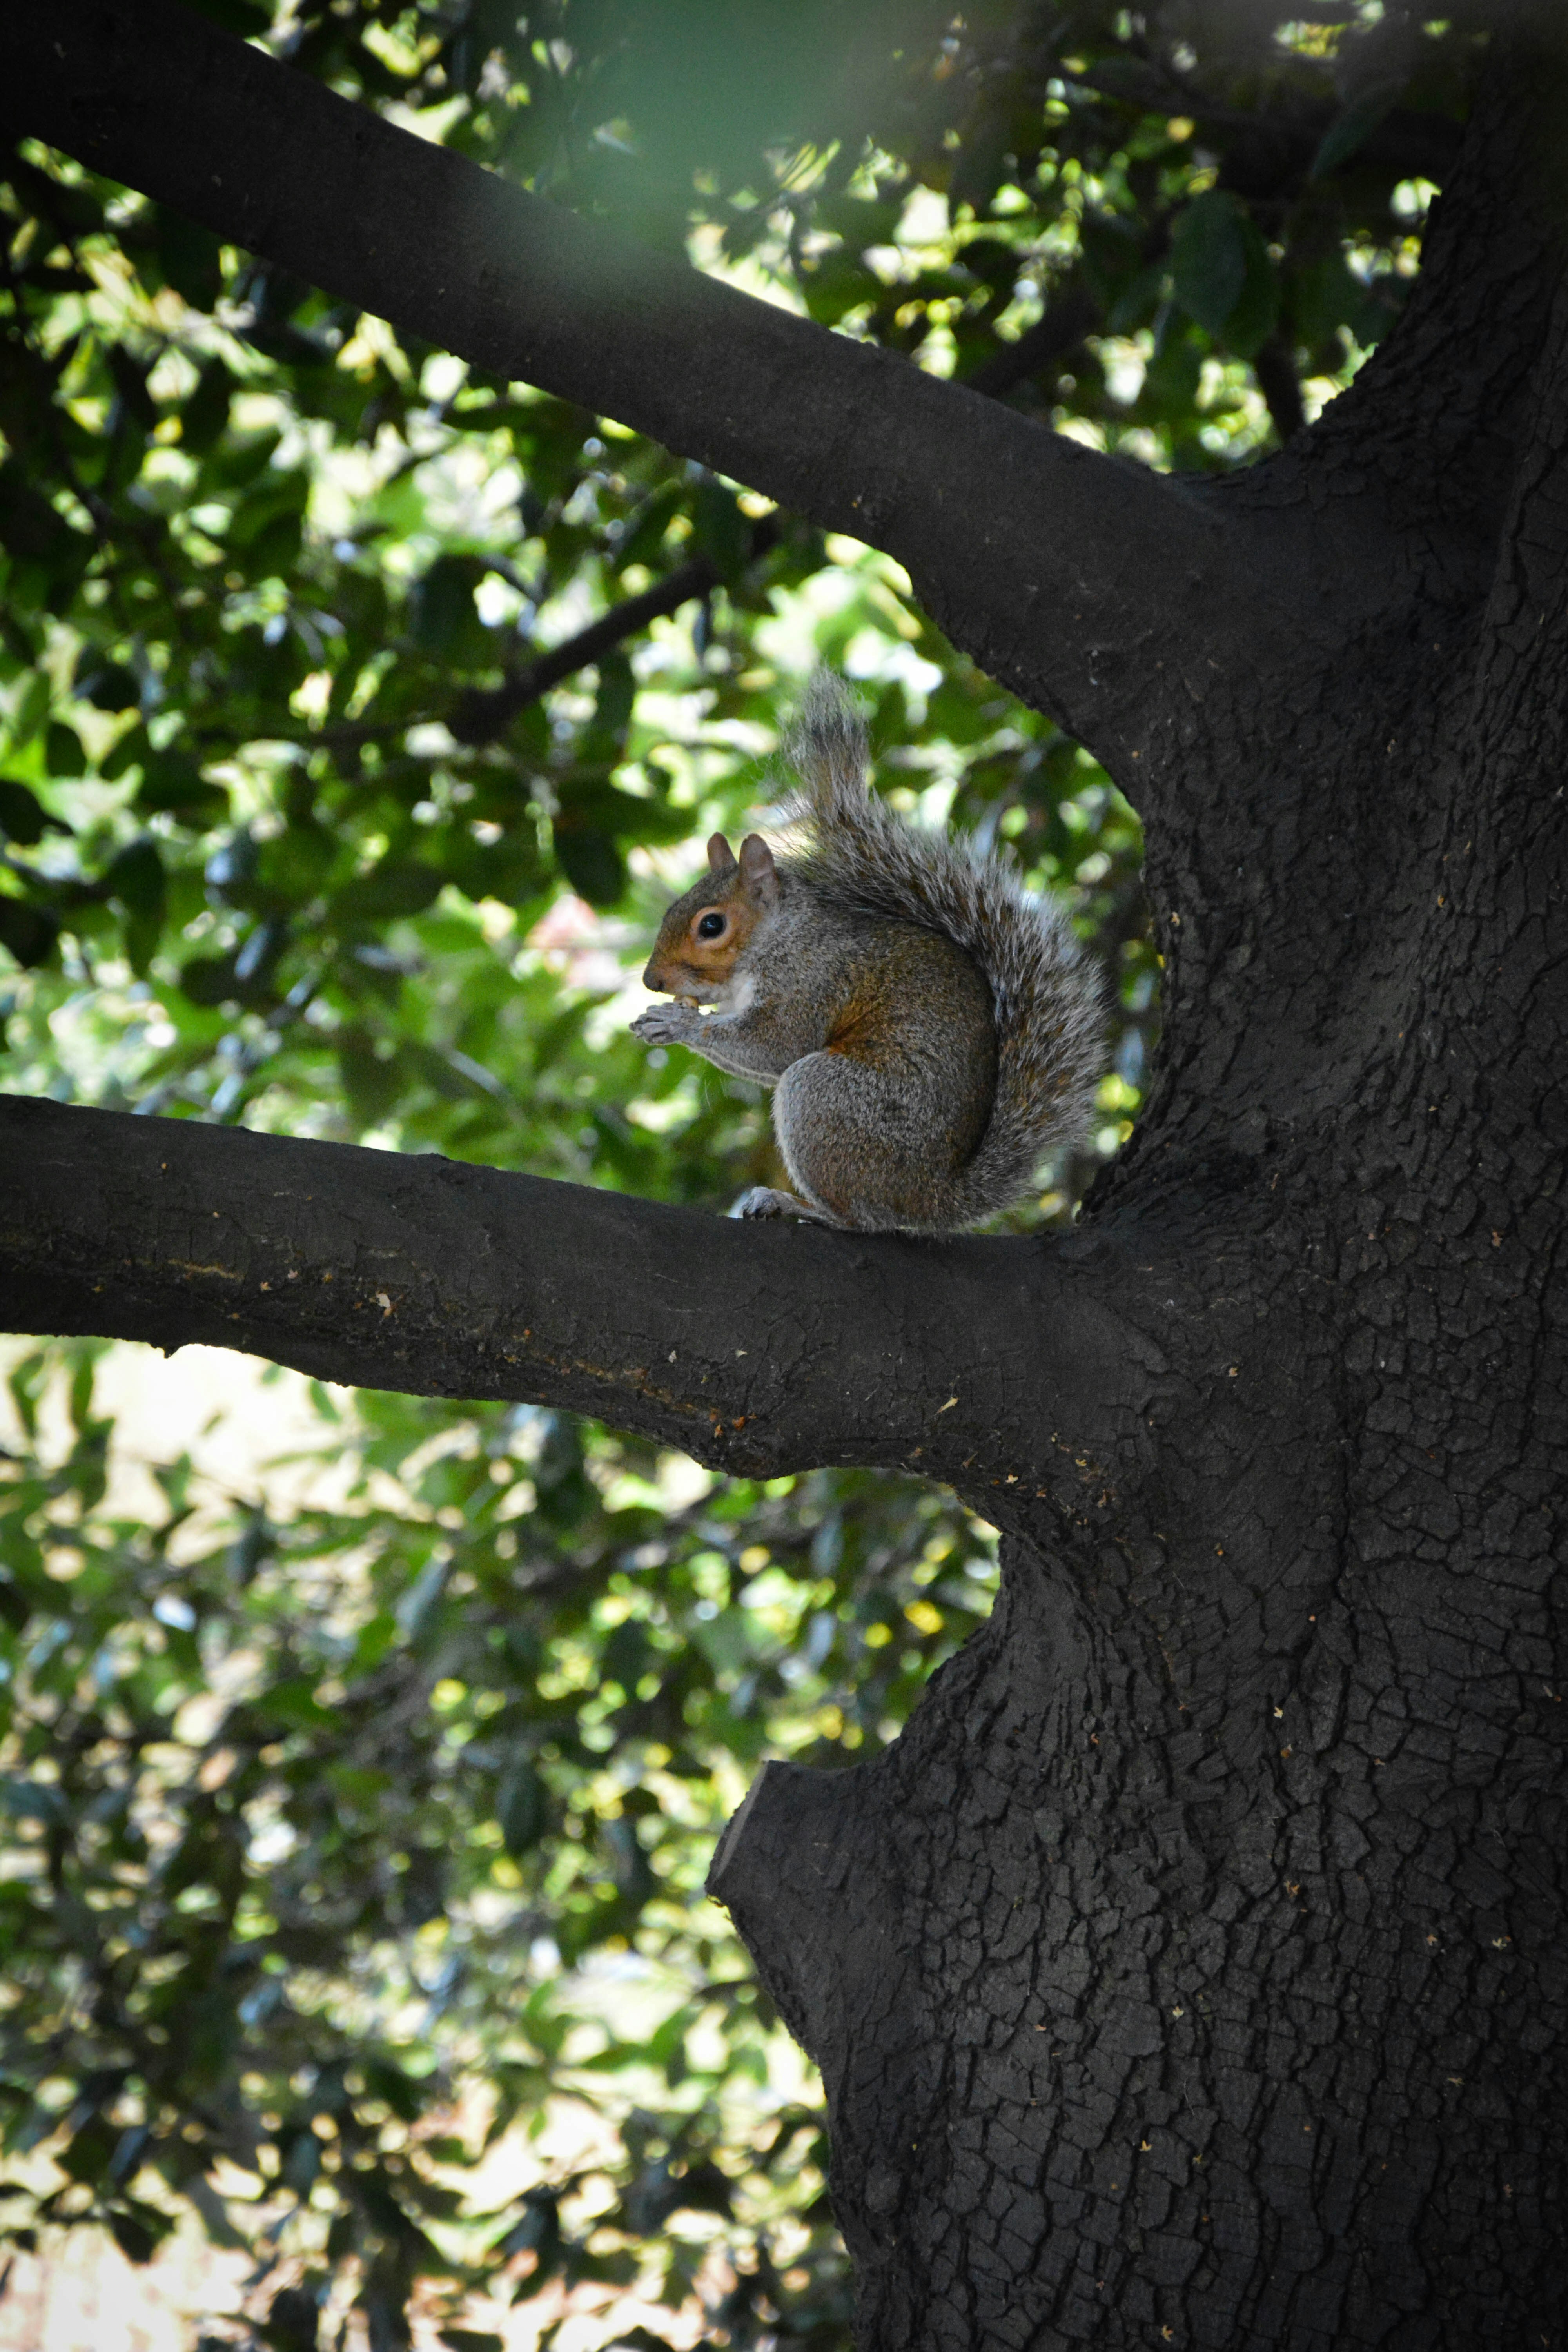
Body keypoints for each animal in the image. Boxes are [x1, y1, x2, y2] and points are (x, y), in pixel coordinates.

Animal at [630, 673, 1104, 1232]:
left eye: (711, 925)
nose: (653, 981)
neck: (779, 939)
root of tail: (932, 1198)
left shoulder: (811, 979)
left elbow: (777, 1045)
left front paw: (676, 1023)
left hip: (825, 1098)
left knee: (860, 1218)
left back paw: (798, 1205)